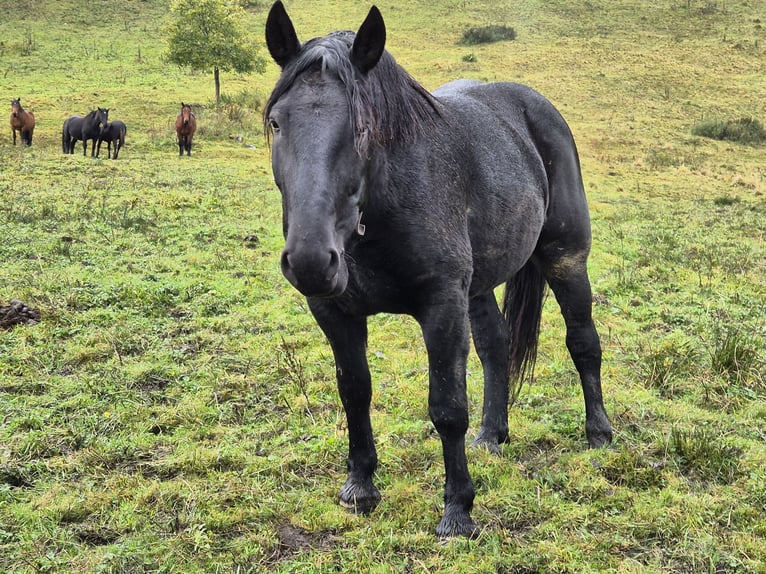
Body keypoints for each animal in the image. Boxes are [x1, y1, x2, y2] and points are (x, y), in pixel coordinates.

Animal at [268, 1, 616, 540]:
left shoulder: (442, 306)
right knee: (497, 347)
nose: (309, 259)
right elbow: (355, 393)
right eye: (277, 123)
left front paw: (458, 510)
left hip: (565, 257)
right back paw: (492, 434)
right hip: (479, 286)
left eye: (360, 128)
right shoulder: (335, 312)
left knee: (583, 342)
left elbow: (448, 407)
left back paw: (598, 433)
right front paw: (360, 486)